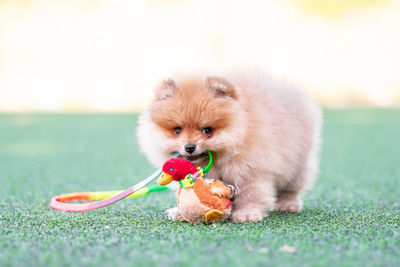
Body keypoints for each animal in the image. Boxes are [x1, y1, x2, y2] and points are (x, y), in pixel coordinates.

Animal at [138, 70, 322, 223]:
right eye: (177, 130)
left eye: (207, 130)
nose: (189, 147)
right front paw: (179, 212)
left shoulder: (250, 170)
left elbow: (250, 195)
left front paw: (247, 214)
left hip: (297, 163)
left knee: (291, 187)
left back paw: (287, 204)